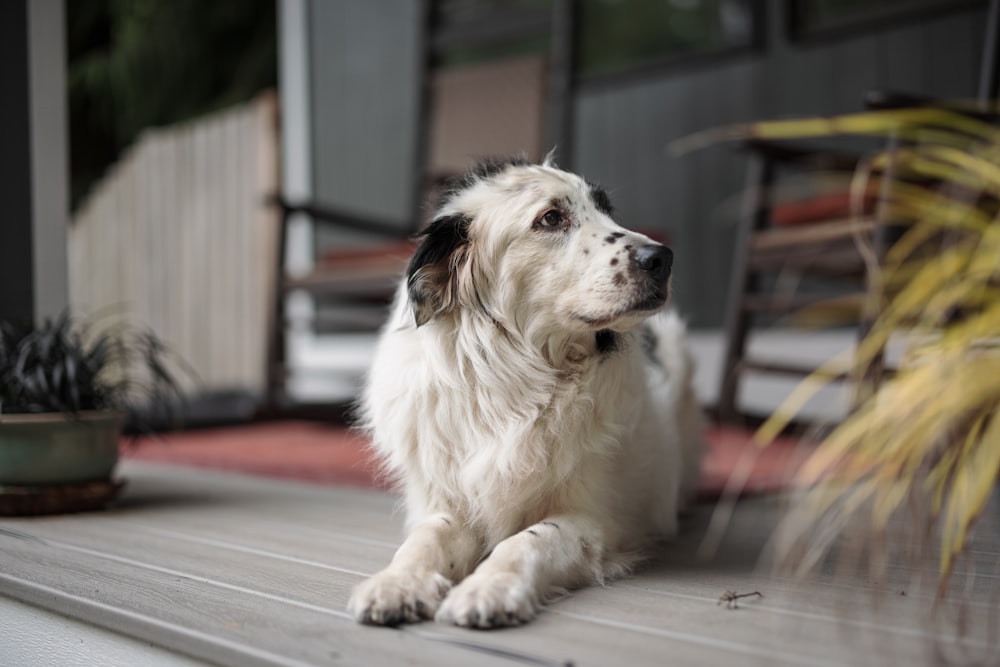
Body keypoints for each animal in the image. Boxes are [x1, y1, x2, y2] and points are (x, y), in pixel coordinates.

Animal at [350, 157, 704, 632]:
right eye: (551, 218)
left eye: (607, 211)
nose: (662, 257)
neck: (516, 377)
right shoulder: (449, 502)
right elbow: (427, 537)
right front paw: (395, 582)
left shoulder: (590, 518)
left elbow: (527, 540)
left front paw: (487, 589)